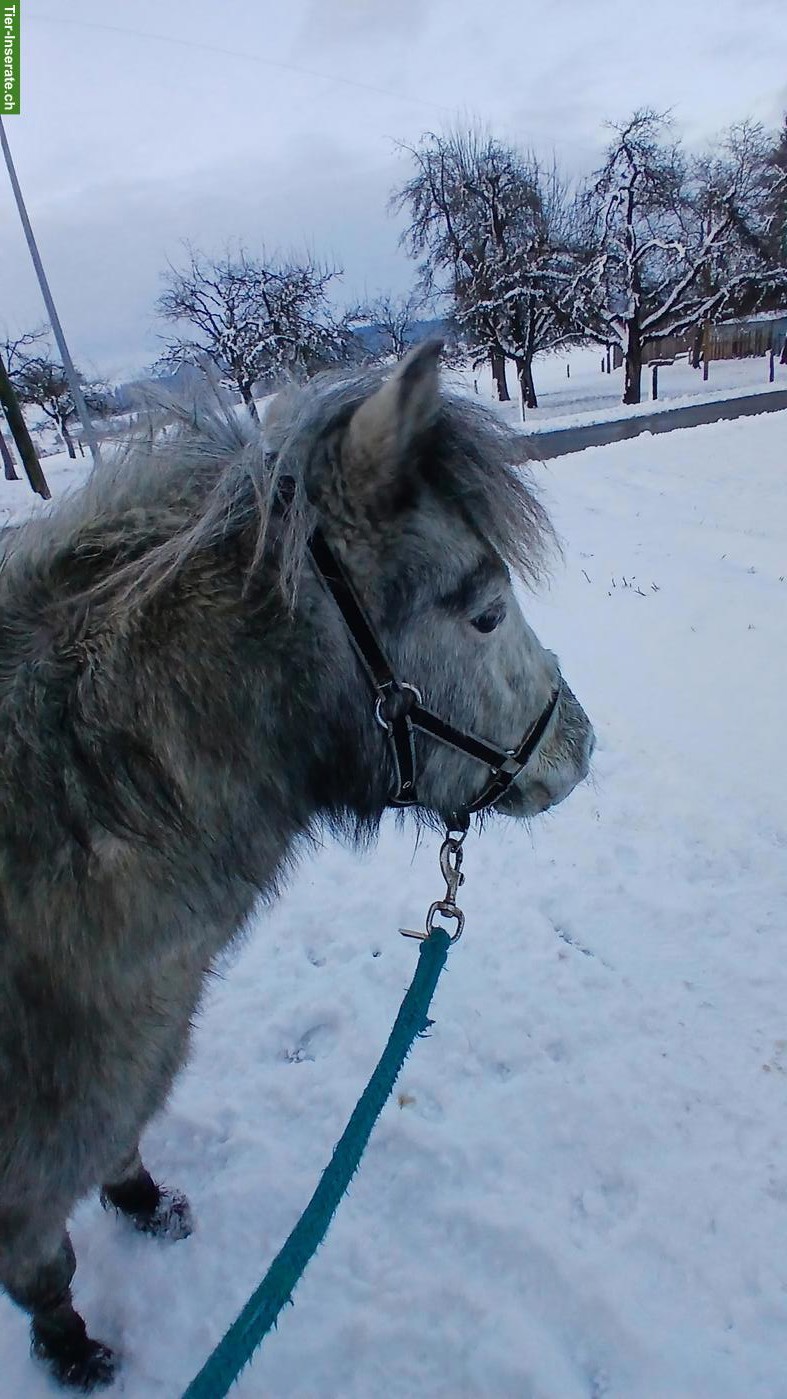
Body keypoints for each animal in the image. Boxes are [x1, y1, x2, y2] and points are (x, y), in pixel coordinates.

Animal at [0, 341, 594, 1390]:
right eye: (485, 612)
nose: (582, 744)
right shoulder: (27, 1178)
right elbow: (47, 1268)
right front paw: (73, 1350)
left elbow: (122, 1147)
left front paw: (145, 1200)